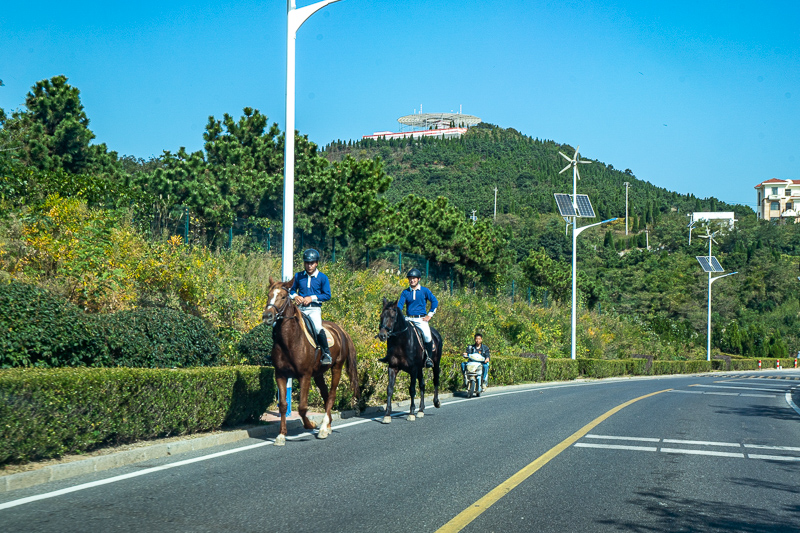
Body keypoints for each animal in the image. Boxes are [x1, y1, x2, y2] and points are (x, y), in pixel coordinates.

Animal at [260, 276, 358, 442]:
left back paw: (323, 428)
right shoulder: (280, 375)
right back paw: (328, 426)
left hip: (336, 368)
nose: (267, 316)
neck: (289, 341)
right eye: (268, 295)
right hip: (318, 374)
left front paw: (310, 424)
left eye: (283, 296)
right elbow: (283, 405)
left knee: (331, 395)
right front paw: (281, 435)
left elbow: (302, 407)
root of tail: (340, 330)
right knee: (325, 395)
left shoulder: (304, 376)